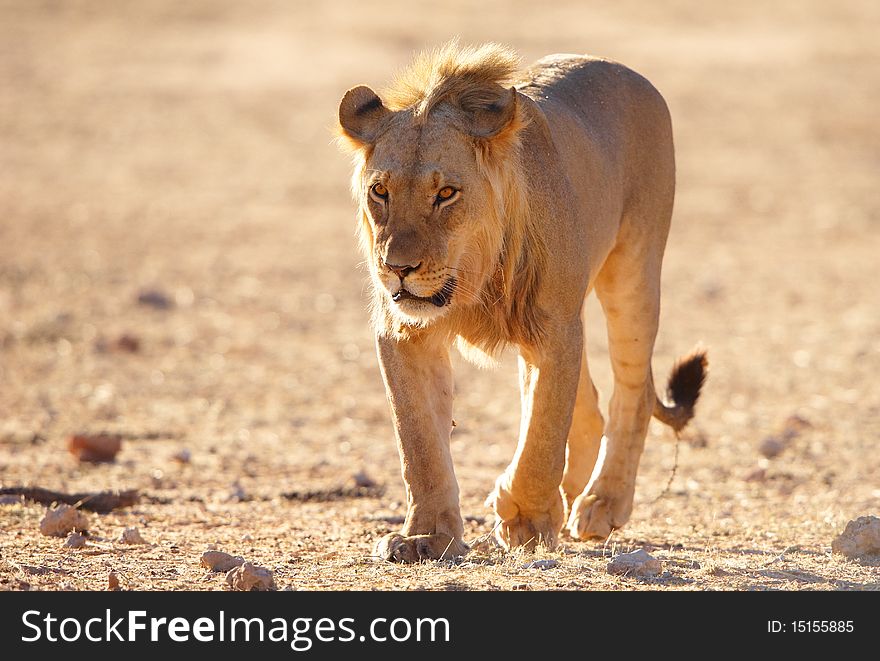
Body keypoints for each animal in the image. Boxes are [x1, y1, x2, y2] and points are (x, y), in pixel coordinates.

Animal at [336, 41, 708, 560]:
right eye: (380, 191)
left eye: (446, 193)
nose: (397, 267)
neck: (472, 281)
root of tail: (623, 70)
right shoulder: (405, 332)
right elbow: (419, 442)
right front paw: (426, 536)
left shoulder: (554, 330)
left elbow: (542, 434)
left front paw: (527, 519)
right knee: (589, 403)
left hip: (634, 273)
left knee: (631, 393)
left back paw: (602, 503)